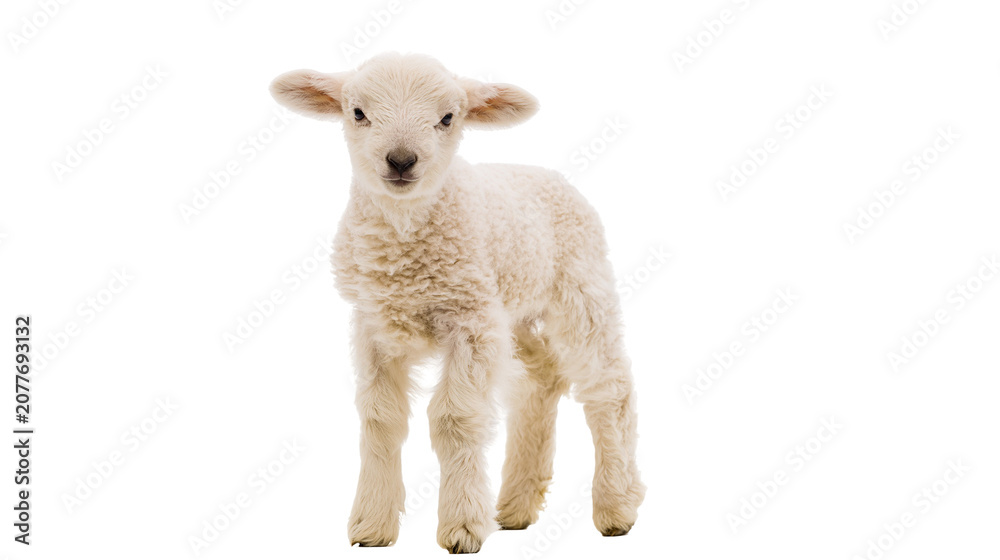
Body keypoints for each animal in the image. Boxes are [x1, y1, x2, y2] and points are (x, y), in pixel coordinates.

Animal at [269, 52, 645, 554]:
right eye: (358, 113)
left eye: (448, 117)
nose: (401, 160)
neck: (406, 240)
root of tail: (548, 174)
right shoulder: (374, 325)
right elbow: (380, 418)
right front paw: (372, 525)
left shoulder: (469, 323)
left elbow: (454, 419)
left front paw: (462, 526)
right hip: (510, 309)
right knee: (542, 377)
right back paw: (517, 505)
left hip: (580, 287)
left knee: (609, 387)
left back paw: (616, 506)